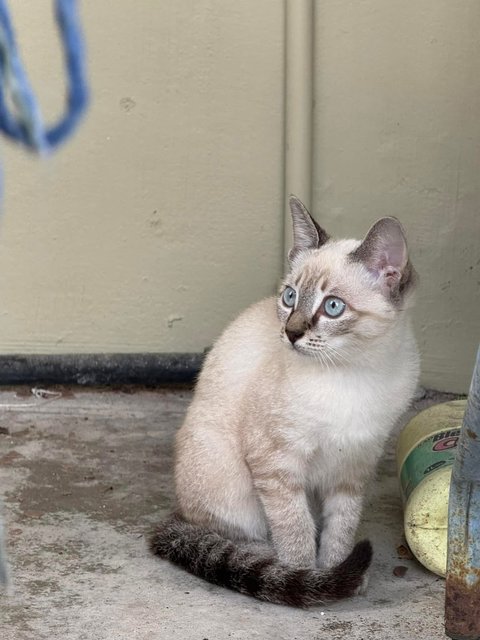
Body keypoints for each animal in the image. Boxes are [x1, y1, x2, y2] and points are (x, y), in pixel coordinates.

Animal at [149, 198, 416, 608]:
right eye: (289, 297)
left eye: (333, 307)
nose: (290, 333)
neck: (353, 374)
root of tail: (179, 510)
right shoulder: (275, 464)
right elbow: (295, 527)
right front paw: (307, 579)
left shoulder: (354, 466)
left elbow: (341, 527)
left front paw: (337, 573)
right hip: (234, 490)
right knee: (233, 537)